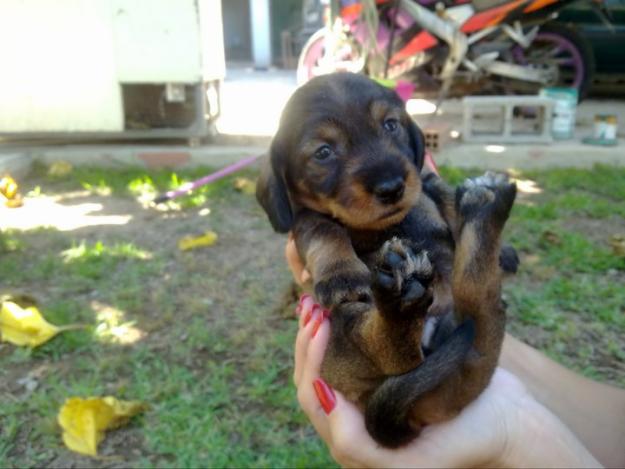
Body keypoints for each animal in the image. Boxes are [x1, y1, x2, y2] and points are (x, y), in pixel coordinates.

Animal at [255, 72, 516, 446]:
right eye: (323, 152)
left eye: (391, 125)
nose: (392, 186)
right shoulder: (305, 219)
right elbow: (325, 230)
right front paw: (342, 274)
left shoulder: (424, 179)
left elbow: (442, 192)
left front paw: (499, 243)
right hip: (344, 332)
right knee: (399, 348)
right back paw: (403, 302)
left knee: (481, 311)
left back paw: (486, 204)